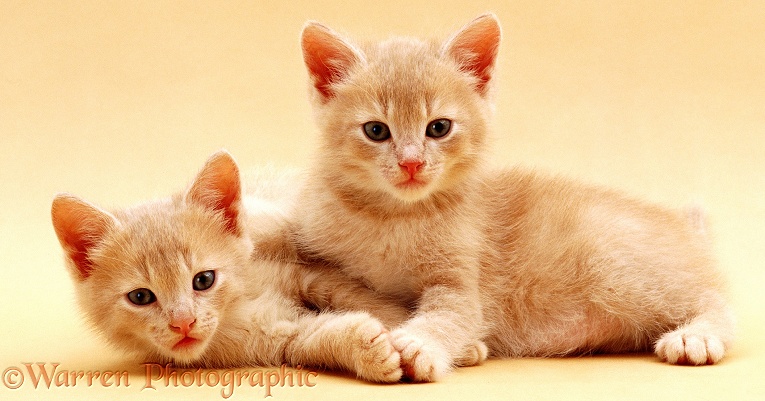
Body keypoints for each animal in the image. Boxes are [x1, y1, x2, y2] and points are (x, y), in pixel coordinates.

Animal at [50, 149, 408, 382]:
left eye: (203, 280)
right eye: (140, 297)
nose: (183, 323)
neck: (238, 309)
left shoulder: (304, 272)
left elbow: (348, 291)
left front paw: (404, 327)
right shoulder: (274, 339)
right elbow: (314, 337)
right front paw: (369, 350)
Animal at [294, 14, 736, 380]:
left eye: (438, 127)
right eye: (376, 131)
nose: (411, 163)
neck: (394, 218)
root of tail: (684, 224)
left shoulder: (463, 280)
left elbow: (453, 315)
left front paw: (421, 344)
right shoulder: (320, 256)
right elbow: (357, 295)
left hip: (619, 266)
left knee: (717, 299)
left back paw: (696, 336)